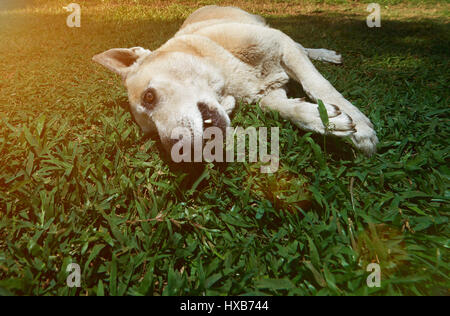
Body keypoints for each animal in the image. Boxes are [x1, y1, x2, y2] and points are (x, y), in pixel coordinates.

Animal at [93, 4, 378, 158]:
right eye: (150, 133)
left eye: (149, 97)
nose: (181, 153)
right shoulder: (269, 93)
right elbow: (282, 107)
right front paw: (321, 119)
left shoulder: (281, 45)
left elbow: (318, 85)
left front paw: (360, 128)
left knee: (302, 48)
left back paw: (324, 54)